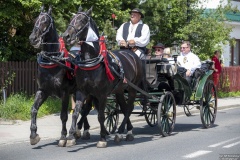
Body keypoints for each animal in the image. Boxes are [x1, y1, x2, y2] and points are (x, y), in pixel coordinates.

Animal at [28, 5, 81, 146]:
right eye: (35, 19)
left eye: (45, 21)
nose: (33, 38)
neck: (52, 60)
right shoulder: (43, 90)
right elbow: (34, 109)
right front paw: (33, 134)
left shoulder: (64, 93)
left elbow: (63, 115)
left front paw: (63, 137)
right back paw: (77, 132)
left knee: (79, 110)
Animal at [62, 7, 146, 148]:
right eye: (71, 19)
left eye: (82, 20)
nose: (66, 36)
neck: (91, 62)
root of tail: (131, 53)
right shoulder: (82, 92)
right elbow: (76, 113)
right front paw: (71, 136)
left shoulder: (101, 94)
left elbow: (100, 116)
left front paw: (102, 138)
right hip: (119, 90)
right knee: (124, 107)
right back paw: (123, 132)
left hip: (132, 88)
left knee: (129, 108)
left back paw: (124, 132)